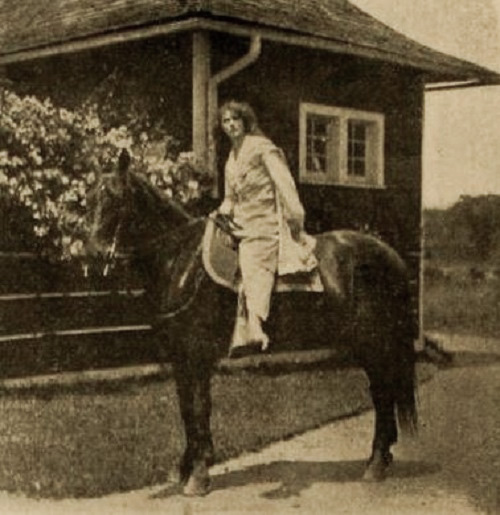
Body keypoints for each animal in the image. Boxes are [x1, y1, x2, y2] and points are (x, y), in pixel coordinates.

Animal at [87, 149, 418, 496]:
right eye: (89, 198)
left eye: (115, 198)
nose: (93, 255)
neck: (182, 260)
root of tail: (390, 254)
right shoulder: (181, 358)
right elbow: (187, 409)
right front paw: (186, 467)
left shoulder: (196, 353)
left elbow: (199, 407)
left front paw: (199, 474)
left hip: (373, 342)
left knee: (382, 393)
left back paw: (376, 463)